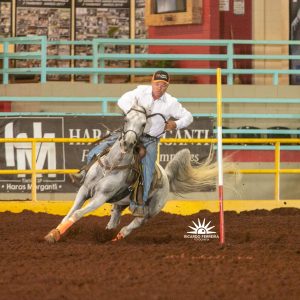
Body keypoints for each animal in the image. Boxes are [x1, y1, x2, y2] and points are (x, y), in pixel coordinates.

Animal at [45, 104, 223, 243]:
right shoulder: (84, 190)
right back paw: (108, 233)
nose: (128, 143)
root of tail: (166, 176)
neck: (111, 165)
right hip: (120, 203)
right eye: (126, 120)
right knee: (115, 218)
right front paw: (54, 232)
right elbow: (70, 213)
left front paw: (54, 235)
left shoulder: (101, 197)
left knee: (136, 222)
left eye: (144, 123)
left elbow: (77, 214)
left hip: (151, 210)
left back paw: (118, 237)